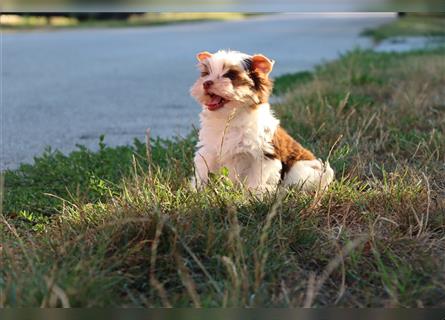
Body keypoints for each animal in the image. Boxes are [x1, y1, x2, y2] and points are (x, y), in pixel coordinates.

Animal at [189, 48, 332, 191]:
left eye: (230, 75)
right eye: (206, 74)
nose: (206, 83)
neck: (229, 117)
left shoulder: (264, 155)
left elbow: (256, 179)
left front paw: (255, 193)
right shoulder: (209, 150)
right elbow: (203, 169)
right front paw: (198, 190)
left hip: (300, 170)